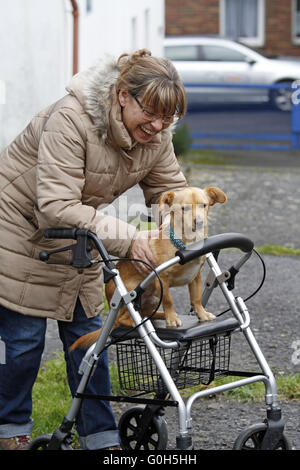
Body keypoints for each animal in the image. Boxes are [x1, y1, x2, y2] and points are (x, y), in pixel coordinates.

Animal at [69, 185, 225, 350]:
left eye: (204, 205)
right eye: (185, 209)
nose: (199, 222)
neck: (187, 243)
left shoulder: (195, 277)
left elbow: (196, 299)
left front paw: (202, 314)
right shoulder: (162, 279)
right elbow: (169, 300)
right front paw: (172, 319)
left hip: (154, 297)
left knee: (146, 314)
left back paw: (159, 315)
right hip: (133, 292)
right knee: (122, 319)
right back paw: (138, 323)